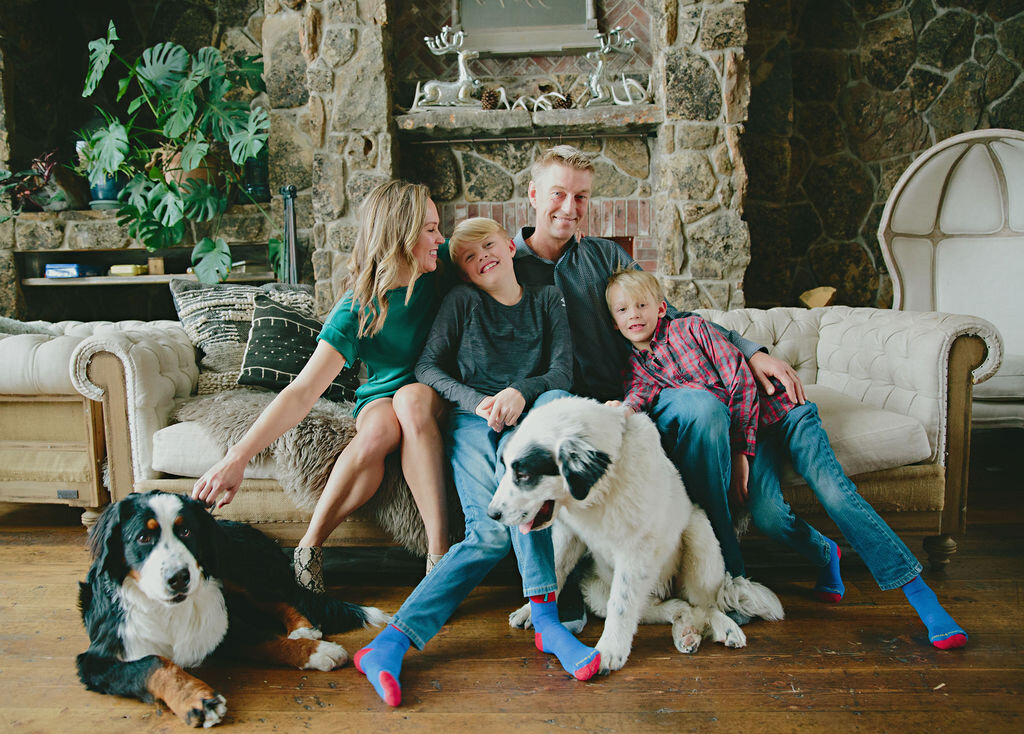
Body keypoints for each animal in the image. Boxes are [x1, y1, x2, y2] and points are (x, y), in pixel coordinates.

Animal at [76, 489, 387, 724]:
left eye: (186, 531)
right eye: (143, 537)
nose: (179, 578)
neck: (170, 611)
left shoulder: (220, 623)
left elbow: (266, 639)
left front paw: (317, 650)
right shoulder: (96, 661)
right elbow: (154, 663)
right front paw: (199, 701)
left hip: (233, 572)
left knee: (281, 600)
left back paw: (304, 630)